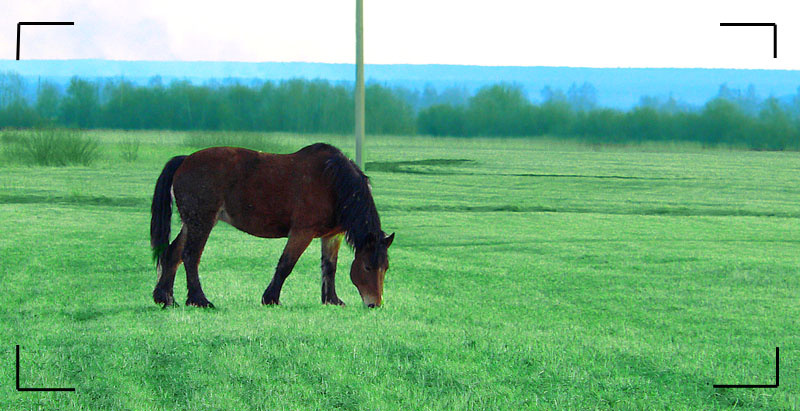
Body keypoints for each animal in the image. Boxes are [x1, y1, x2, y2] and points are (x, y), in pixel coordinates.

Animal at [149, 143, 394, 309]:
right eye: (367, 267)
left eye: (385, 268)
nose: (375, 304)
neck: (333, 181)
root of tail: (184, 160)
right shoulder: (302, 232)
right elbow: (286, 264)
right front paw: (271, 298)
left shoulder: (332, 236)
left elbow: (329, 267)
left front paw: (331, 299)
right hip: (202, 221)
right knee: (190, 256)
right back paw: (199, 300)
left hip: (191, 223)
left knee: (173, 253)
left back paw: (166, 298)